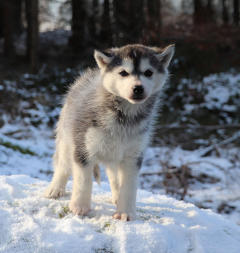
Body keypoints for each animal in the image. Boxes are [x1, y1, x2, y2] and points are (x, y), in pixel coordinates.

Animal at [44, 44, 174, 221]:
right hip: (66, 139)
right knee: (62, 166)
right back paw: (55, 189)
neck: (124, 117)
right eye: (123, 73)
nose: (138, 88)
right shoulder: (83, 149)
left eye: (148, 72)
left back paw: (117, 196)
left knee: (114, 176)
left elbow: (129, 185)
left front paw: (125, 211)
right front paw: (80, 207)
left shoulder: (133, 156)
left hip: (114, 154)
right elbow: (83, 180)